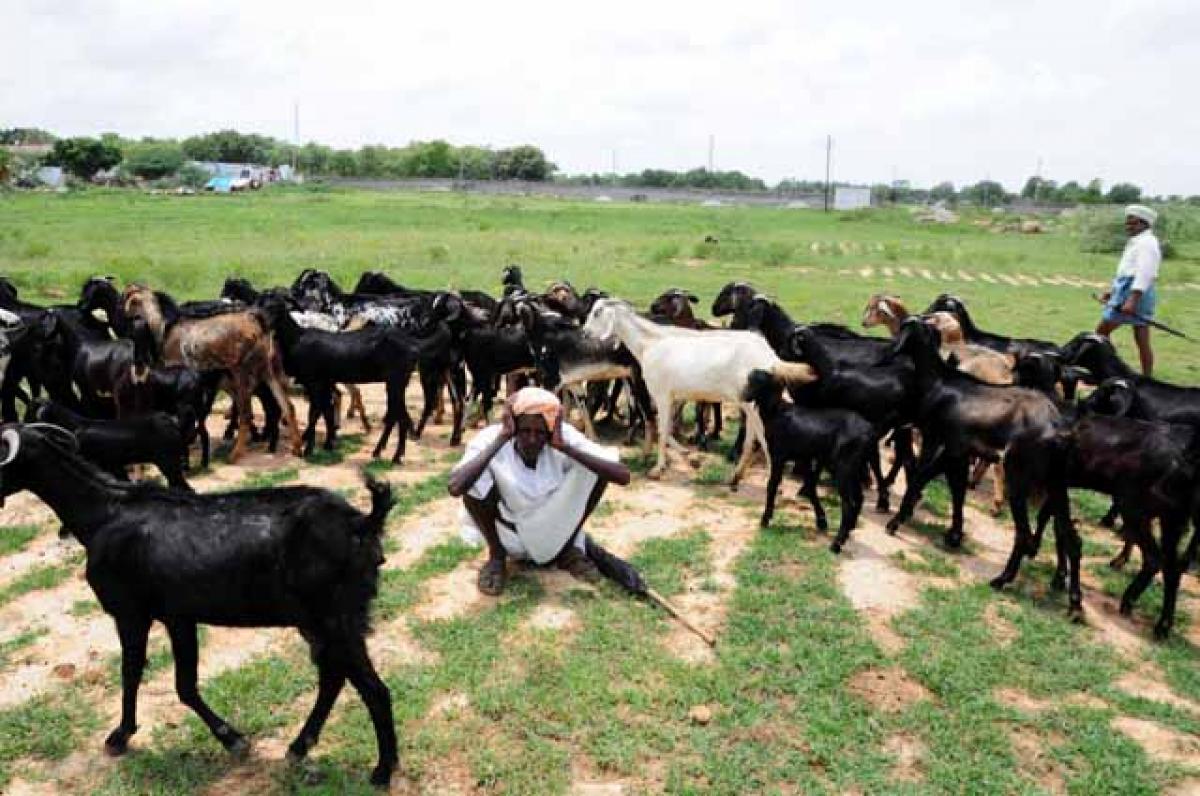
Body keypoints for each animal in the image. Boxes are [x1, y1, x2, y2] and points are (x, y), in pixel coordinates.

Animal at [0, 427, 398, 787]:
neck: (105, 512)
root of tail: (361, 523)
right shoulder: (178, 617)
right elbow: (185, 685)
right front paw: (233, 738)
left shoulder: (130, 613)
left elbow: (132, 672)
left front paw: (121, 735)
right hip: (317, 622)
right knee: (333, 677)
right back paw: (299, 747)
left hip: (336, 618)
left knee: (373, 688)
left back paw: (382, 770)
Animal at [580, 298, 816, 482]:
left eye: (597, 312)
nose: (584, 332)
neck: (650, 343)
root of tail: (772, 359)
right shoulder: (675, 396)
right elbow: (665, 427)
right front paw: (689, 457)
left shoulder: (662, 394)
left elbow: (661, 428)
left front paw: (658, 469)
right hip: (750, 405)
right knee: (752, 437)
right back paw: (735, 476)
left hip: (756, 405)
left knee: (763, 438)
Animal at [739, 369, 873, 552]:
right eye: (749, 379)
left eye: (756, 382)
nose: (742, 394)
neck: (777, 412)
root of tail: (868, 432)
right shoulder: (805, 458)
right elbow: (810, 487)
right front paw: (821, 521)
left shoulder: (779, 456)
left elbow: (772, 485)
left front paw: (765, 519)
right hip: (854, 468)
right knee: (859, 498)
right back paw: (848, 532)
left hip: (843, 466)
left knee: (849, 503)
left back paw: (836, 544)